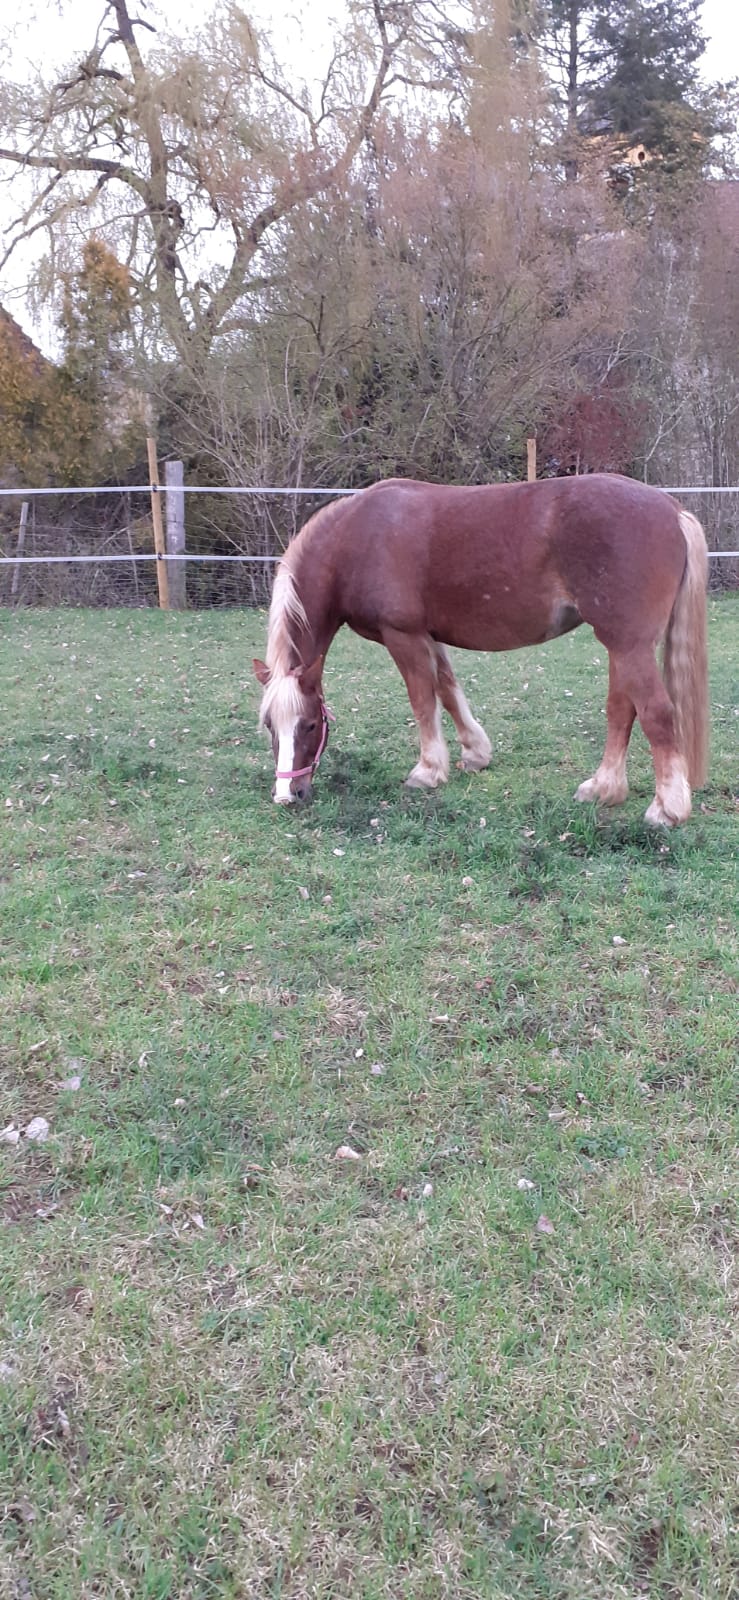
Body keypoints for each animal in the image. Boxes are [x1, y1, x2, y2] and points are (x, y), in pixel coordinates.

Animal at [255, 470, 710, 825]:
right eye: (270, 726)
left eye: (309, 724)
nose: (288, 796)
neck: (354, 539)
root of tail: (672, 510)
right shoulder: (428, 636)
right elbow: (447, 689)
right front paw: (475, 753)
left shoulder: (402, 635)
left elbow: (423, 700)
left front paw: (428, 772)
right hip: (620, 645)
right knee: (622, 710)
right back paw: (603, 788)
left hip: (629, 645)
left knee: (656, 712)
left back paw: (667, 809)